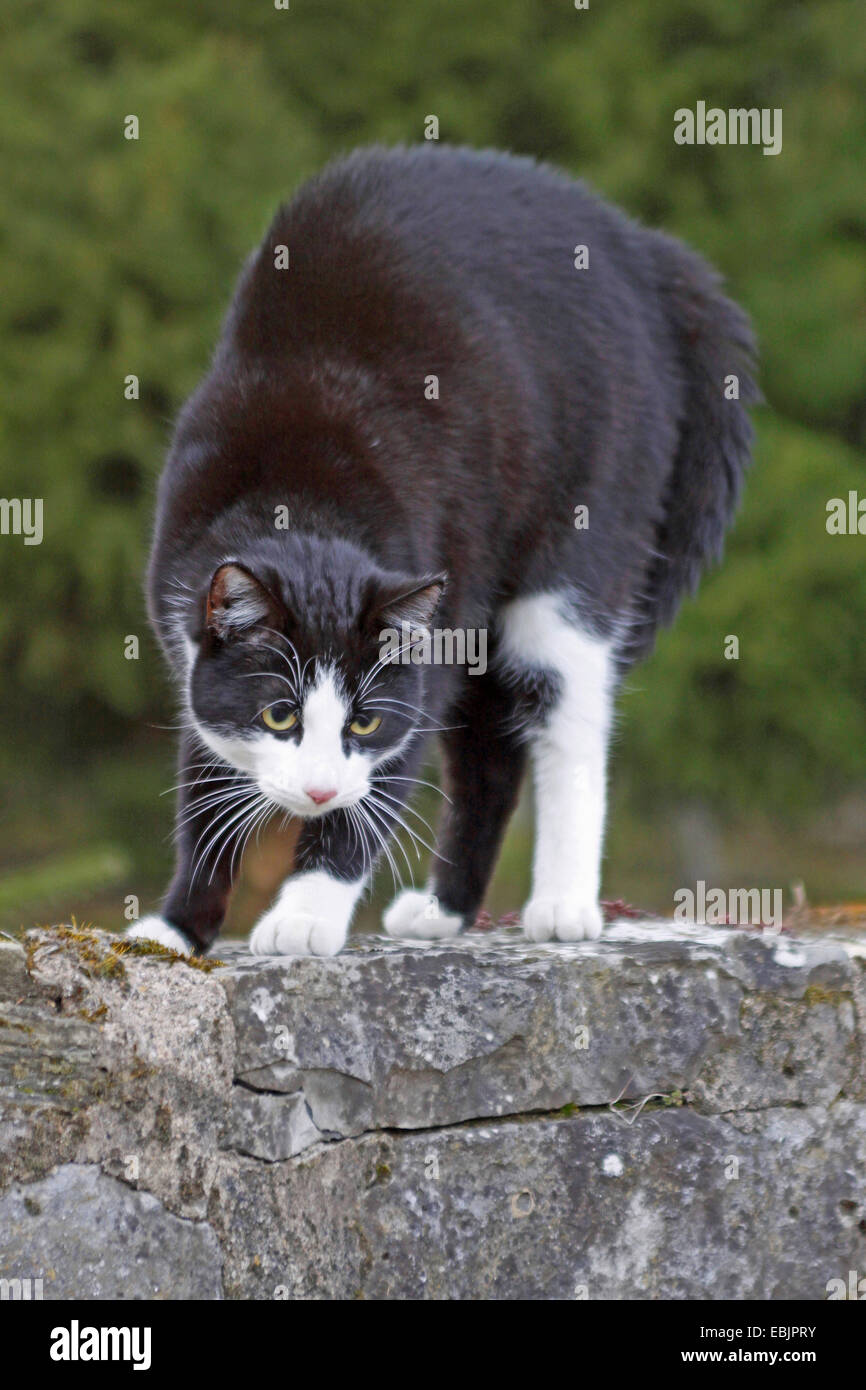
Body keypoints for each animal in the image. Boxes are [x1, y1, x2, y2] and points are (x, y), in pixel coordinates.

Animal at [128, 146, 756, 961]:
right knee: (491, 751)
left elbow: (384, 780)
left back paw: (563, 905)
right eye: (279, 715)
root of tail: (644, 249)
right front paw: (175, 928)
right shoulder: (197, 647)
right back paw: (445, 909)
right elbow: (206, 791)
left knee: (569, 716)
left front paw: (304, 915)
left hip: (583, 529)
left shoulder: (420, 657)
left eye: (363, 723)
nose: (320, 789)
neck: (299, 499)